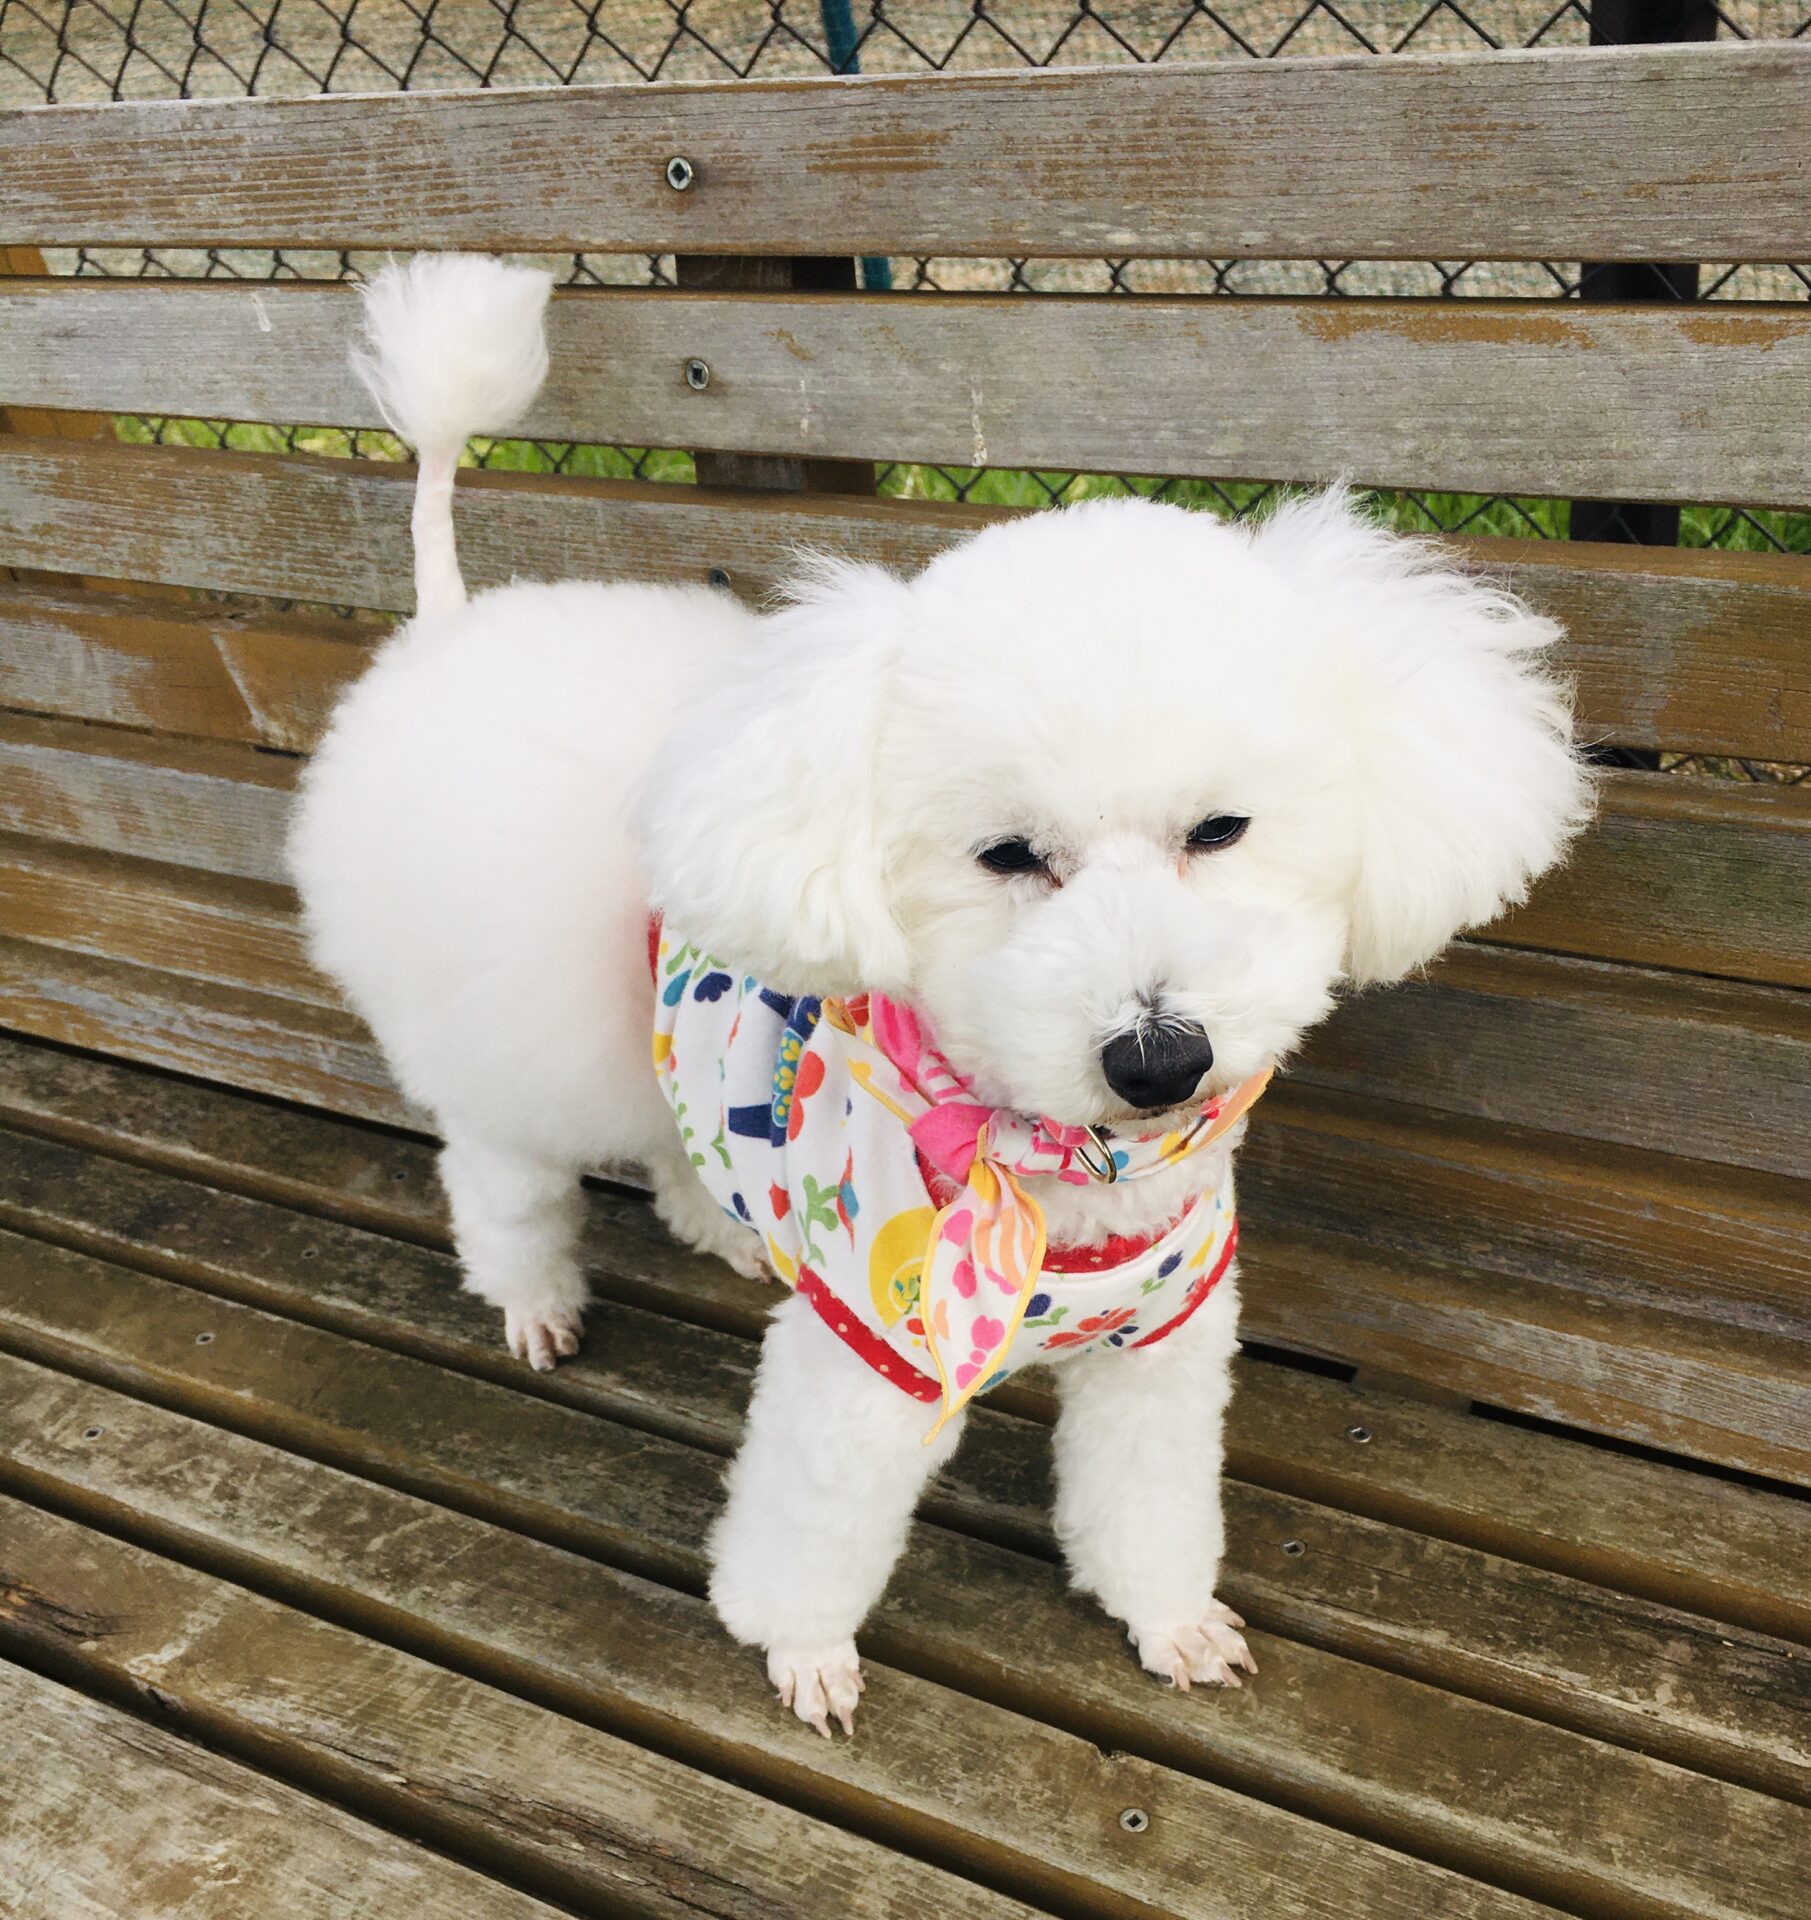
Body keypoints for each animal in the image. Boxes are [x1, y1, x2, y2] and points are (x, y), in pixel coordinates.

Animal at [290, 255, 1593, 1736]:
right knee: (498, 1172)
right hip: (503, 1033)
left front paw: (1168, 1623)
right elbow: (812, 1531)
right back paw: (530, 1299)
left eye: (1219, 830)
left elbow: (1146, 1507)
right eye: (1006, 856)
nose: (1156, 1058)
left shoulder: (1161, 1345)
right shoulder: (870, 1363)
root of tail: (454, 631)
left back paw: (721, 1227)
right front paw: (800, 1654)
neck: (1061, 1173)